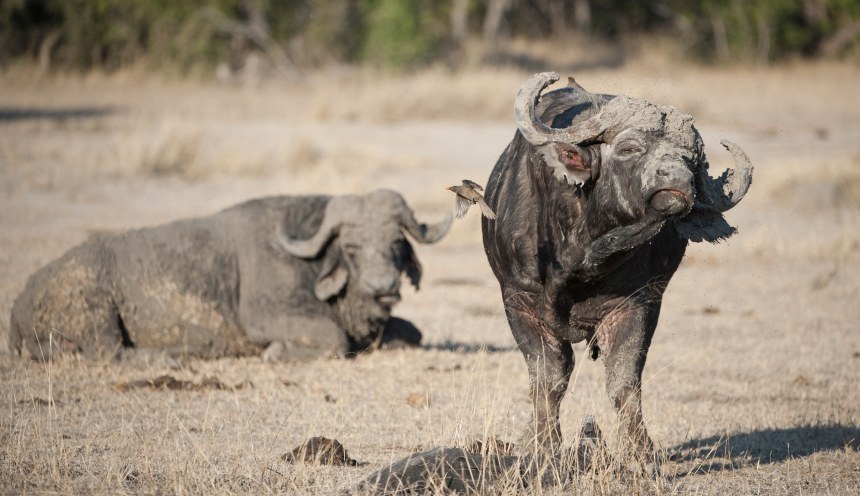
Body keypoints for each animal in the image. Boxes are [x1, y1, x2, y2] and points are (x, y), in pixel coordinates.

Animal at [10, 189, 450, 362]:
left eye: (395, 243)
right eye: (353, 247)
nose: (383, 288)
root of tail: (19, 305)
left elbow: (412, 331)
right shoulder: (265, 315)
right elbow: (334, 338)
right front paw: (277, 352)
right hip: (95, 307)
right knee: (110, 352)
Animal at [481, 72, 753, 470]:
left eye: (690, 158)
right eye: (629, 148)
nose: (677, 179)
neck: (583, 256)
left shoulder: (637, 303)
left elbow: (624, 381)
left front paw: (640, 452)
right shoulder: (519, 303)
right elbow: (549, 377)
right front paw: (543, 446)